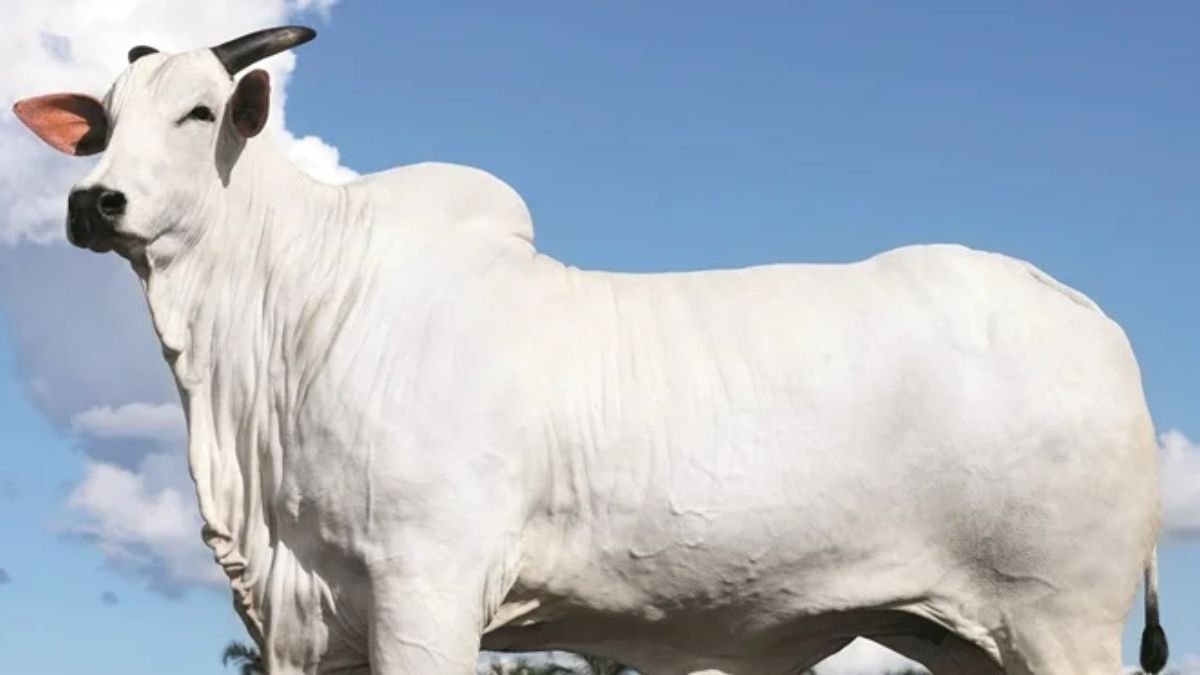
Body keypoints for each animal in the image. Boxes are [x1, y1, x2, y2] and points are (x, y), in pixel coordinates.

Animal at [13, 26, 1169, 675]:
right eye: (99, 123)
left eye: (199, 111)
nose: (92, 201)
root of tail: (1088, 316)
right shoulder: (302, 623)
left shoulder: (428, 589)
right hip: (959, 637)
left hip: (1063, 620)